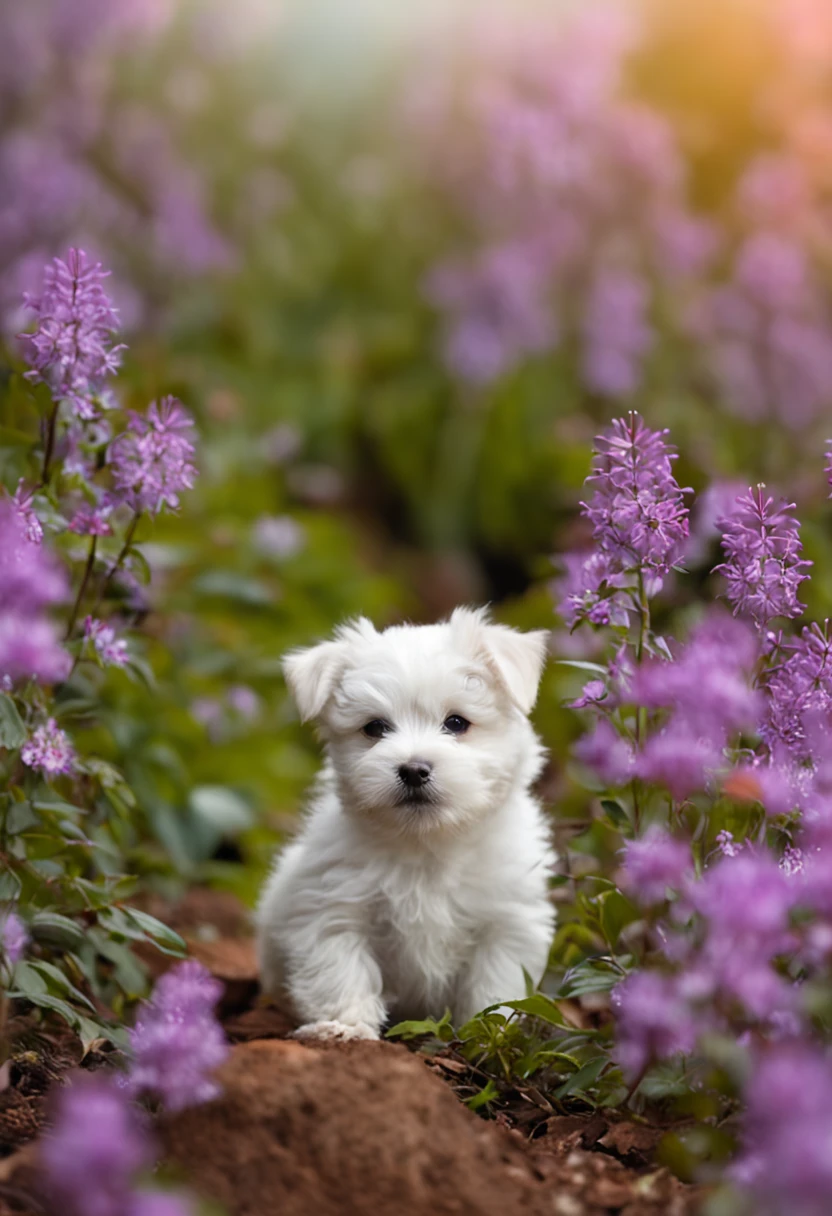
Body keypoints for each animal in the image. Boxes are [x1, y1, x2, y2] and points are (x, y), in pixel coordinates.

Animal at [256, 603, 554, 1040]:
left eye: (457, 723)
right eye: (375, 728)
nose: (413, 770)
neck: (425, 842)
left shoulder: (507, 921)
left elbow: (495, 983)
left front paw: (490, 1033)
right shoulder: (332, 907)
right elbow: (341, 969)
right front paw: (344, 1027)